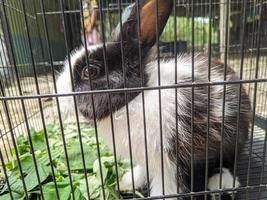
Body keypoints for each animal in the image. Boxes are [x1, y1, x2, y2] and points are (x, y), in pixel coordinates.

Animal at [56, 0, 251, 200]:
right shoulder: (145, 157)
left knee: (226, 163)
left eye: (90, 71)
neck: (134, 99)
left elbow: (166, 188)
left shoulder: (170, 161)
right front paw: (127, 182)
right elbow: (143, 170)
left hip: (232, 141)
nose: (58, 96)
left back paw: (222, 183)